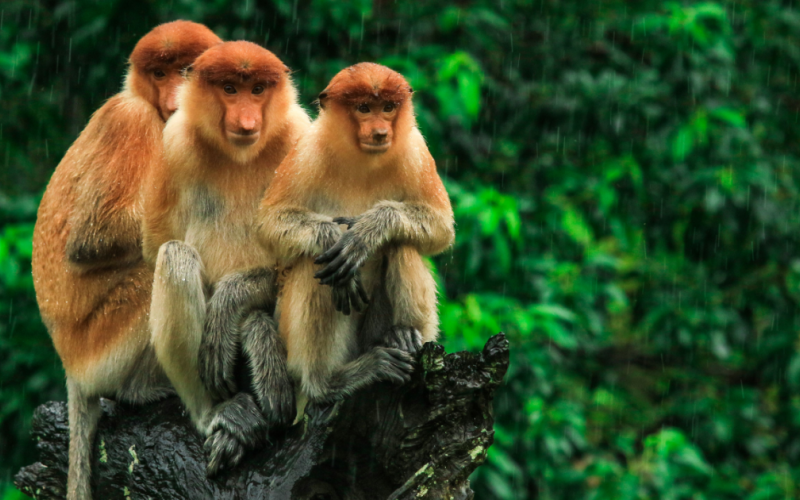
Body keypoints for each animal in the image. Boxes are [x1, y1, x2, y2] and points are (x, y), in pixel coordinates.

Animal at [31, 21, 221, 500]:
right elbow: (91, 238)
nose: (173, 95)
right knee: (157, 267)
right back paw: (141, 391)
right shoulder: (131, 120)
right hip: (101, 347)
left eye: (185, 70)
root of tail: (70, 366)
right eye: (159, 73)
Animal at [141, 40, 311, 476]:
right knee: (176, 256)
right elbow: (157, 243)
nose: (247, 120)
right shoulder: (173, 142)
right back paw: (220, 415)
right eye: (230, 89)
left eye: (258, 90)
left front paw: (232, 306)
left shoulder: (300, 137)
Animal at [258, 62, 455, 406]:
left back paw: (403, 335)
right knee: (314, 265)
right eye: (364, 108)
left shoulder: (415, 150)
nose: (381, 133)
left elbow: (441, 226)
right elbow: (269, 224)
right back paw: (328, 382)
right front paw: (330, 237)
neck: (363, 159)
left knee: (401, 244)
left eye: (388, 107)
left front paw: (367, 232)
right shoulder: (305, 152)